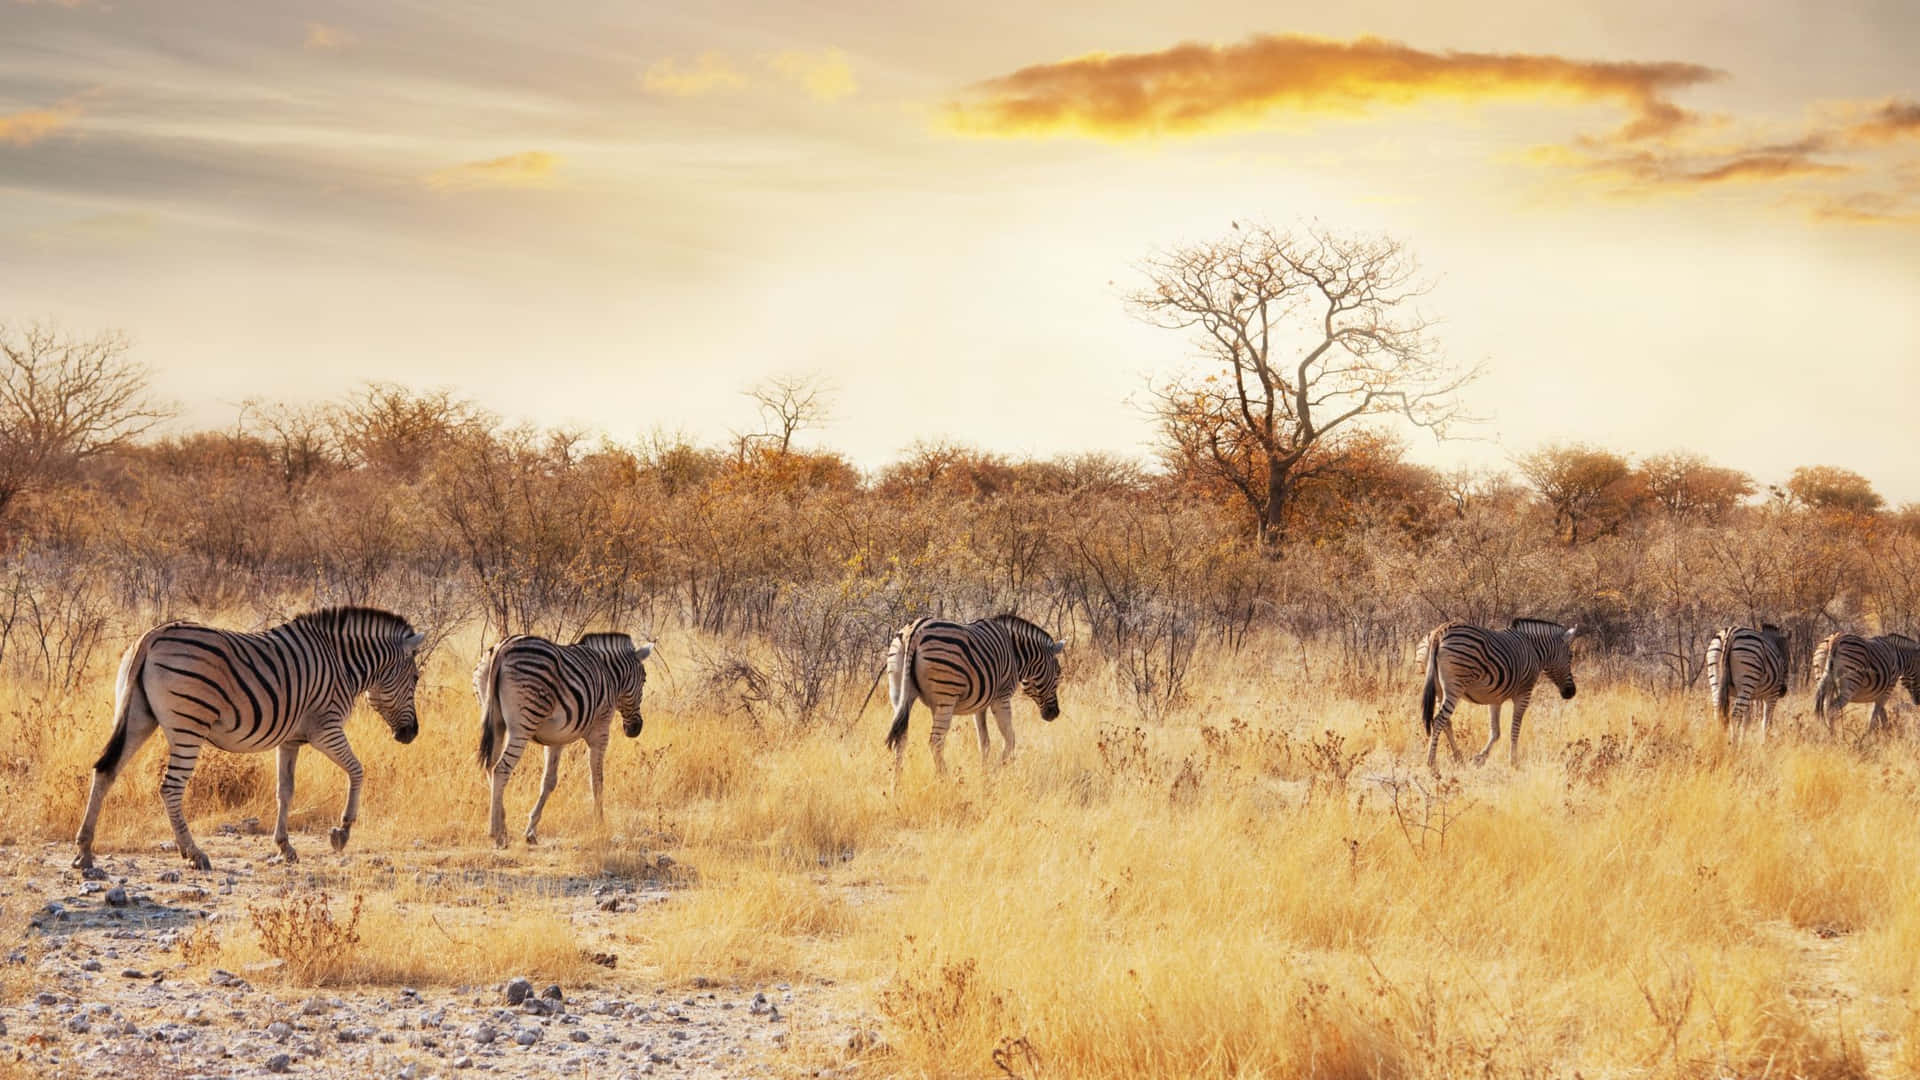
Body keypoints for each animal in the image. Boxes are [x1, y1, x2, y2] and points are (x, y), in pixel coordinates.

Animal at [72, 599, 426, 868]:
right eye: (416, 678)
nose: (411, 734)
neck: (342, 664)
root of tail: (152, 635)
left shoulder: (290, 739)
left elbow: (285, 791)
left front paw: (285, 847)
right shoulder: (325, 728)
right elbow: (357, 770)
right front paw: (342, 831)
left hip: (137, 716)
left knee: (105, 770)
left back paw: (85, 851)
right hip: (188, 725)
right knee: (170, 788)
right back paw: (194, 853)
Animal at [476, 626, 656, 845]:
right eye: (644, 680)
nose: (635, 729)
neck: (611, 675)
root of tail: (504, 647)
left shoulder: (556, 739)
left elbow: (548, 782)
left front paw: (531, 830)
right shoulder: (600, 730)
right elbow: (597, 778)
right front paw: (600, 823)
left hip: (495, 720)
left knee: (490, 766)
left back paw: (503, 823)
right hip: (523, 725)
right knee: (501, 769)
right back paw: (497, 833)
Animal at [883, 614, 1067, 772]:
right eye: (1058, 674)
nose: (1055, 714)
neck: (1015, 653)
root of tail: (914, 630)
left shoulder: (980, 704)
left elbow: (984, 742)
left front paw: (984, 773)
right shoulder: (1001, 698)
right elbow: (1010, 739)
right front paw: (997, 771)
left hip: (899, 692)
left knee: (900, 740)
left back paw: (896, 784)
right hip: (946, 697)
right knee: (935, 742)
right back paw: (945, 780)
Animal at [1420, 614, 1582, 764]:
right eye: (1570, 656)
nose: (1571, 692)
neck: (1534, 650)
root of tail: (1439, 632)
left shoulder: (1494, 697)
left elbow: (1495, 732)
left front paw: (1480, 758)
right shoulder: (1524, 693)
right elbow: (1514, 729)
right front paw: (1513, 761)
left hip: (1439, 689)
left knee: (1446, 722)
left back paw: (1458, 756)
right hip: (1455, 686)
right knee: (1438, 720)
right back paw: (1431, 763)